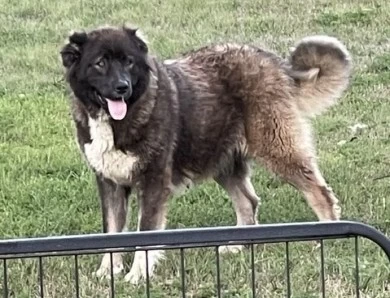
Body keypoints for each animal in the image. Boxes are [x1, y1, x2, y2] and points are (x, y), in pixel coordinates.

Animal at [59, 24, 352, 282]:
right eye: (100, 63)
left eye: (129, 62)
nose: (122, 87)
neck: (118, 120)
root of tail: (275, 64)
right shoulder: (109, 183)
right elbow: (112, 232)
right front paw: (108, 272)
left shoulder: (153, 182)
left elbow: (145, 235)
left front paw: (138, 275)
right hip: (221, 160)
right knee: (248, 202)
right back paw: (236, 246)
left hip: (277, 148)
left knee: (319, 193)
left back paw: (326, 239)